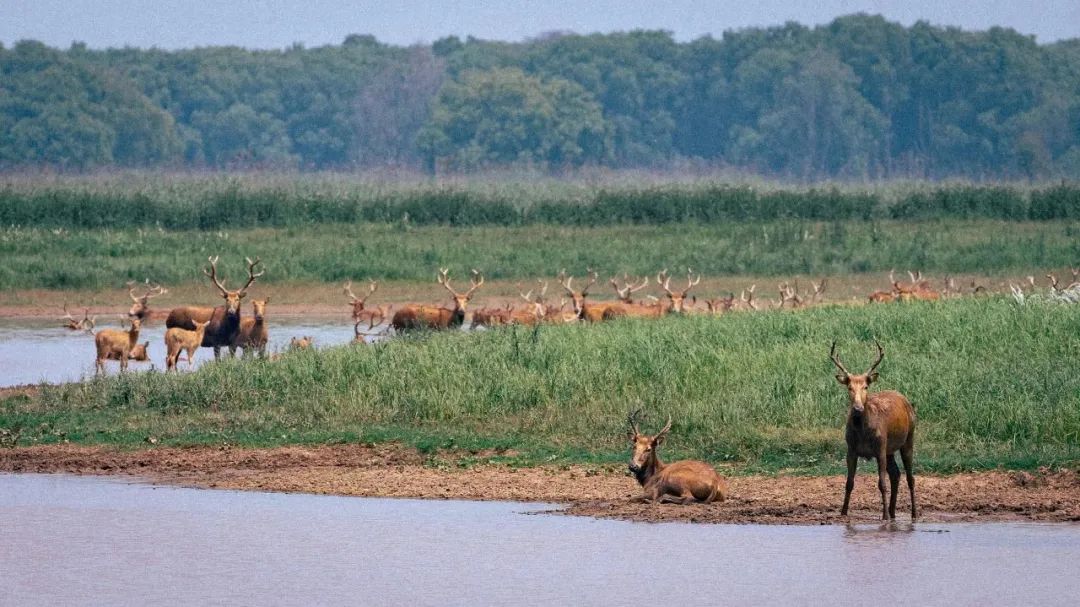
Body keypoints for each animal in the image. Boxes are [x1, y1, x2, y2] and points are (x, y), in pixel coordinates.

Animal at [830, 340, 917, 521]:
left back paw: (913, 513)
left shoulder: (880, 448)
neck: (863, 433)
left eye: (865, 386)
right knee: (896, 474)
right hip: (890, 449)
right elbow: (849, 483)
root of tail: (906, 401)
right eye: (849, 387)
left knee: (910, 477)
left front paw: (883, 516)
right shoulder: (851, 449)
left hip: (908, 438)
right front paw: (843, 512)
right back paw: (892, 512)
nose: (857, 408)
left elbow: (881, 483)